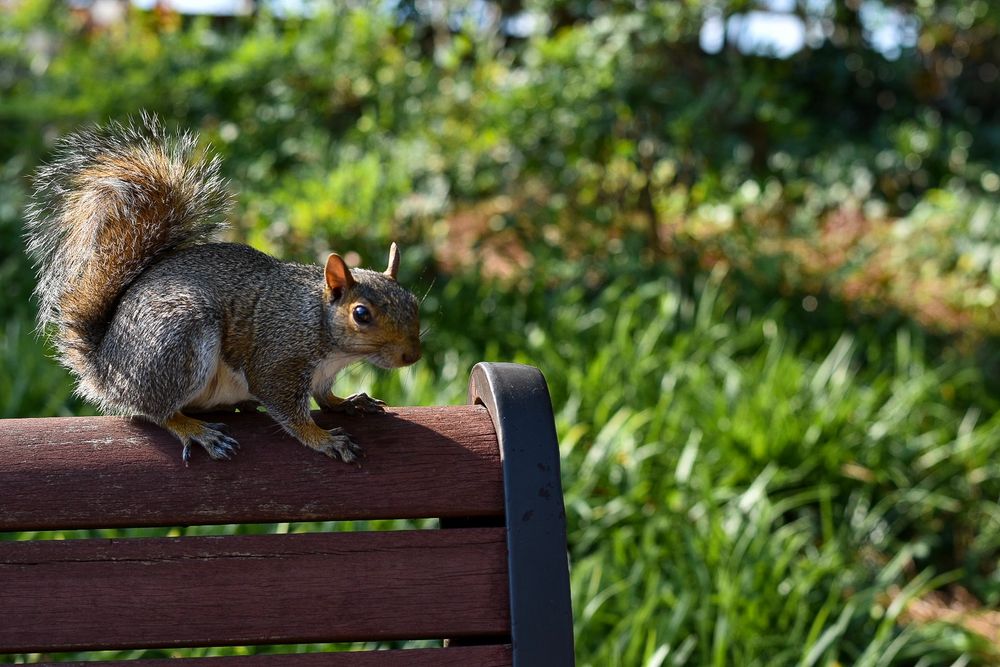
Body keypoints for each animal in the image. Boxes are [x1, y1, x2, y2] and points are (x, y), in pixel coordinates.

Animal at [24, 113, 422, 464]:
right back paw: (195, 430)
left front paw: (347, 403)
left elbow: (324, 397)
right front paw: (322, 439)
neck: (320, 323)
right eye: (361, 314)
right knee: (156, 409)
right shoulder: (278, 358)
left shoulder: (322, 373)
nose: (412, 355)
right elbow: (288, 410)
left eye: (414, 303)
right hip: (177, 341)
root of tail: (106, 369)